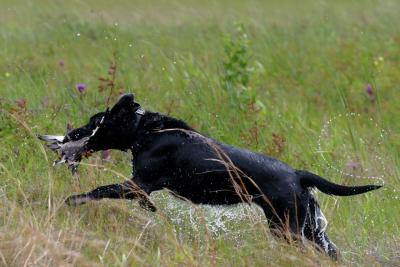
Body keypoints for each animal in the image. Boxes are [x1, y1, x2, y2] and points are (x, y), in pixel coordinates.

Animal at [39, 94, 382, 260]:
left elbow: (100, 190)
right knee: (332, 251)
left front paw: (73, 199)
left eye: (95, 121)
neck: (146, 133)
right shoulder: (141, 188)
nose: (70, 134)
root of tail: (298, 174)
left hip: (289, 226)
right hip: (303, 226)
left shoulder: (138, 184)